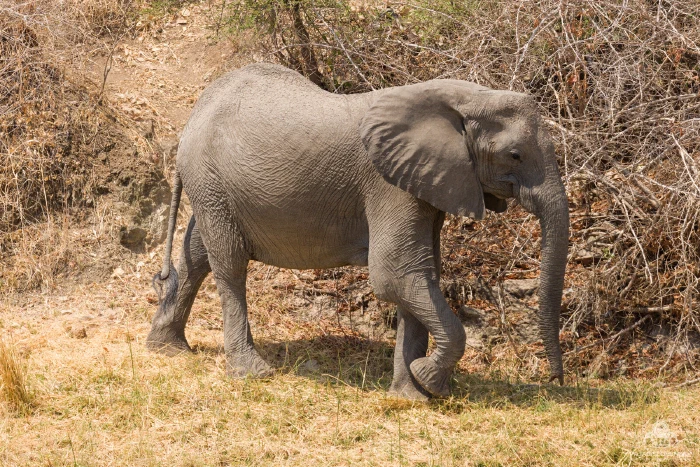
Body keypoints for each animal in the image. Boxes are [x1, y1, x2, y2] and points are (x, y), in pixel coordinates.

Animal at [147, 62, 569, 400]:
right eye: (514, 155)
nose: (556, 381)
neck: (460, 98)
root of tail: (195, 112)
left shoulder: (424, 184)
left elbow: (420, 275)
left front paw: (412, 397)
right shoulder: (389, 186)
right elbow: (395, 275)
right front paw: (428, 380)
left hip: (212, 187)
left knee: (198, 254)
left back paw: (167, 349)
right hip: (210, 179)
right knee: (229, 264)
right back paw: (251, 372)